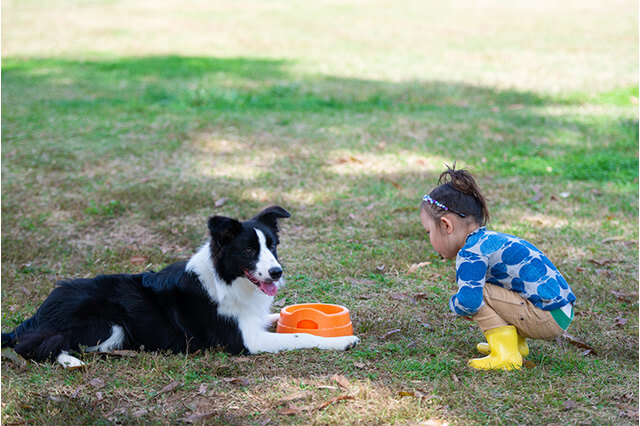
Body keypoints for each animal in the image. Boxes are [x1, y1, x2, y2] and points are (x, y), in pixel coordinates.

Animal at [1, 205, 360, 368]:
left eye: (272, 245)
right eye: (248, 250)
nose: (276, 272)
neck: (227, 280)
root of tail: (39, 312)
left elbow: (278, 318)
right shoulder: (246, 342)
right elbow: (301, 337)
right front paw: (342, 341)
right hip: (108, 323)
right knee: (30, 346)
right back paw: (70, 360)